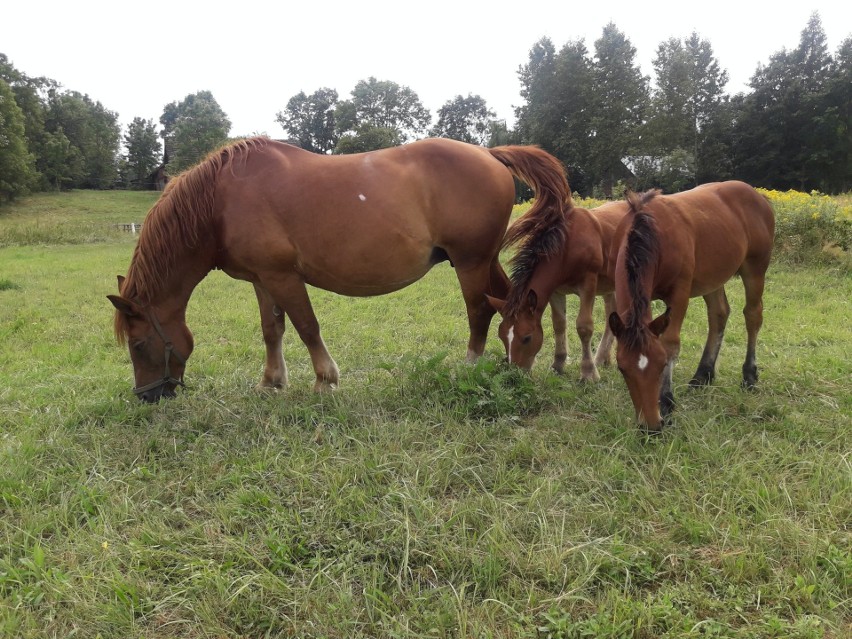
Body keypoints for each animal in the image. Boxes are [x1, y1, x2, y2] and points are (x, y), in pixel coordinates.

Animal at [108, 138, 572, 402]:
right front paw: (271, 382)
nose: (146, 397)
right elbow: (272, 330)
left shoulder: (284, 277)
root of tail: (488, 153)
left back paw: (471, 366)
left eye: (138, 345)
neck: (220, 201)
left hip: (470, 262)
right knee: (508, 305)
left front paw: (324, 380)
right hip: (484, 261)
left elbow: (306, 326)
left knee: (479, 310)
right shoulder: (263, 279)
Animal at [482, 201, 628, 380]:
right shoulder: (556, 291)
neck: (568, 245)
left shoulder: (589, 283)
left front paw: (588, 373)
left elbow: (584, 327)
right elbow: (559, 324)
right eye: (501, 336)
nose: (514, 374)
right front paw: (558, 364)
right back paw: (603, 359)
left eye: (527, 338)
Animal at [604, 182, 780, 432]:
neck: (649, 231)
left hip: (755, 268)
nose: (651, 427)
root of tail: (758, 195)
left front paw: (666, 402)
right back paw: (702, 375)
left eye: (661, 366)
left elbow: (670, 343)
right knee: (719, 314)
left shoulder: (680, 293)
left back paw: (749, 375)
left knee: (753, 315)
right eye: (622, 369)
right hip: (713, 277)